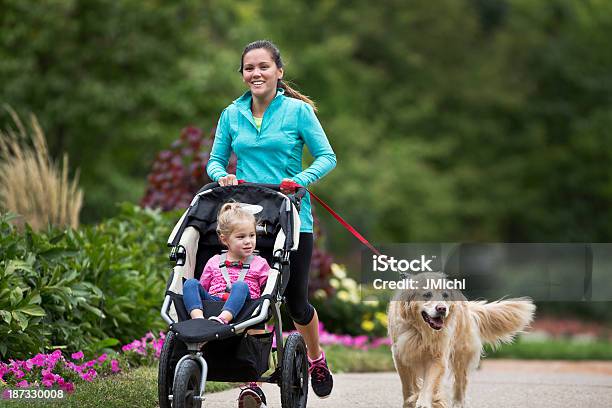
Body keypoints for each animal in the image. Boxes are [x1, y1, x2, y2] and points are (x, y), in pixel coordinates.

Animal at [388, 270, 536, 408]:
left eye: (445, 295)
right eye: (427, 294)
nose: (442, 308)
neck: (420, 331)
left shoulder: (437, 357)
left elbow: (429, 383)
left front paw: (423, 402)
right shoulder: (400, 356)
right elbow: (407, 385)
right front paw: (410, 402)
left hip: (461, 355)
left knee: (461, 381)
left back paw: (457, 403)